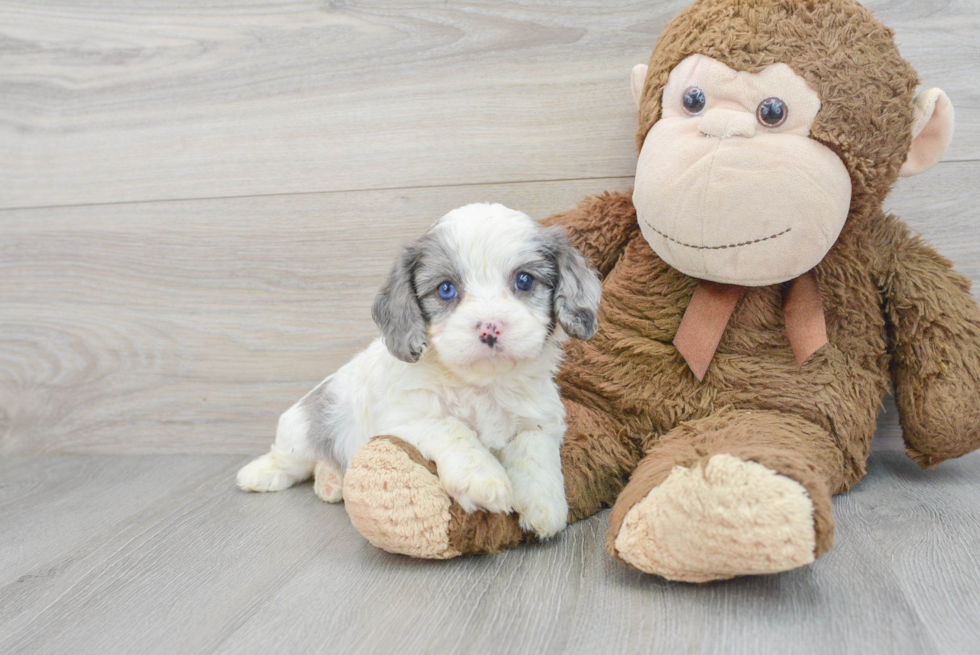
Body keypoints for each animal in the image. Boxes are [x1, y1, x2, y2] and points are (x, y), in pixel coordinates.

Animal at [239, 204, 604, 540]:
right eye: (446, 289)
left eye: (524, 280)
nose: (490, 327)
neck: (481, 385)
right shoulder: (404, 417)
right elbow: (452, 428)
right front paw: (482, 477)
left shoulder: (539, 419)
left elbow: (535, 451)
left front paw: (545, 505)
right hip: (300, 433)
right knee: (289, 461)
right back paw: (260, 474)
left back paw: (330, 481)